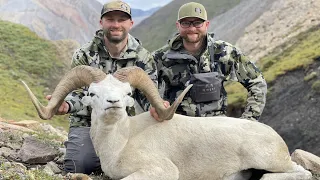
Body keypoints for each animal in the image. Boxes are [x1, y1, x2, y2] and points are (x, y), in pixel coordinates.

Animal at [23, 65, 312, 179]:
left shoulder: (160, 171)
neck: (121, 143)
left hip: (272, 161)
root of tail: (275, 136)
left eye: (128, 93)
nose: (114, 103)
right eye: (92, 93)